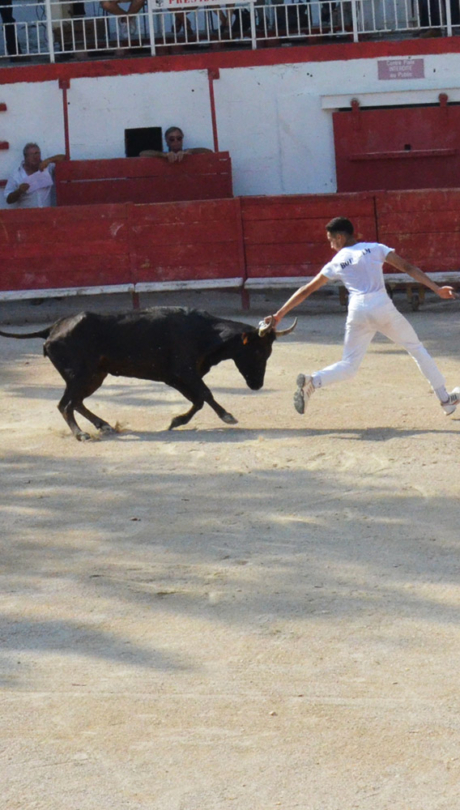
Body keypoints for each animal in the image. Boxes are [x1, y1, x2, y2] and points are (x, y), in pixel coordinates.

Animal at [0, 304, 294, 442]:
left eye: (268, 352)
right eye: (258, 352)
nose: (257, 385)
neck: (204, 332)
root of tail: (53, 328)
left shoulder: (177, 378)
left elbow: (199, 399)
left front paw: (176, 421)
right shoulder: (184, 372)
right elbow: (206, 394)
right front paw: (228, 416)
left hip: (95, 376)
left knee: (77, 402)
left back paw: (103, 425)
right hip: (79, 375)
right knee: (65, 404)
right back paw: (82, 434)